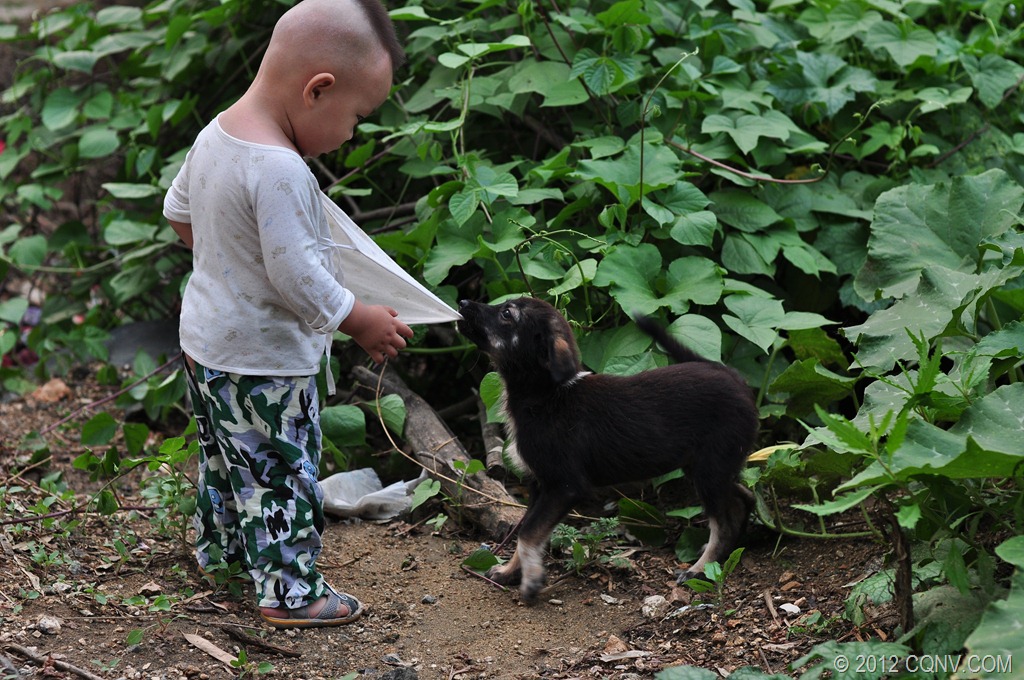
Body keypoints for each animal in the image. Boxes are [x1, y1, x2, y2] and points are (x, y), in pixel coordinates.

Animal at [460, 294, 757, 602]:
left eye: (507, 314)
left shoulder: (565, 487)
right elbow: (524, 527)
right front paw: (509, 571)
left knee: (723, 522)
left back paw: (700, 569)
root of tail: (734, 377)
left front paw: (531, 581)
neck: (545, 395)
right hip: (708, 467)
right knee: (744, 499)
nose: (463, 302)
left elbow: (528, 532)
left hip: (710, 469)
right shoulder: (539, 485)